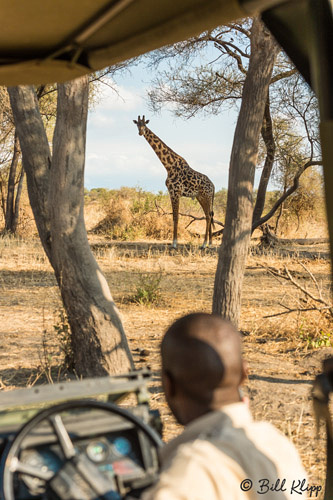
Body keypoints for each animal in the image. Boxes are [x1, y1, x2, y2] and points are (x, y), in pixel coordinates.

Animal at [134, 117, 214, 250]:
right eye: (137, 125)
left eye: (145, 125)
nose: (141, 132)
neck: (169, 166)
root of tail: (213, 186)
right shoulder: (172, 192)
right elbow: (173, 217)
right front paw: (173, 243)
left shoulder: (176, 192)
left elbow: (176, 217)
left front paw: (175, 244)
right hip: (200, 197)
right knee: (209, 216)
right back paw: (208, 243)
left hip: (206, 197)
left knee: (208, 216)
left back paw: (204, 245)